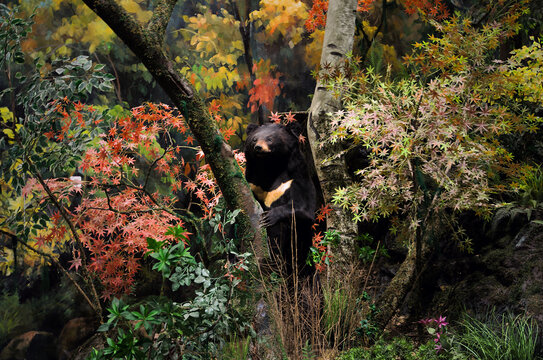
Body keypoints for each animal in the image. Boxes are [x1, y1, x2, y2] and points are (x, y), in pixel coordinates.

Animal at [244, 122, 316, 278]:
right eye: (254, 139)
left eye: (270, 139)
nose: (258, 147)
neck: (269, 168)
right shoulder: (253, 183)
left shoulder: (295, 179)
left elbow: (305, 210)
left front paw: (269, 217)